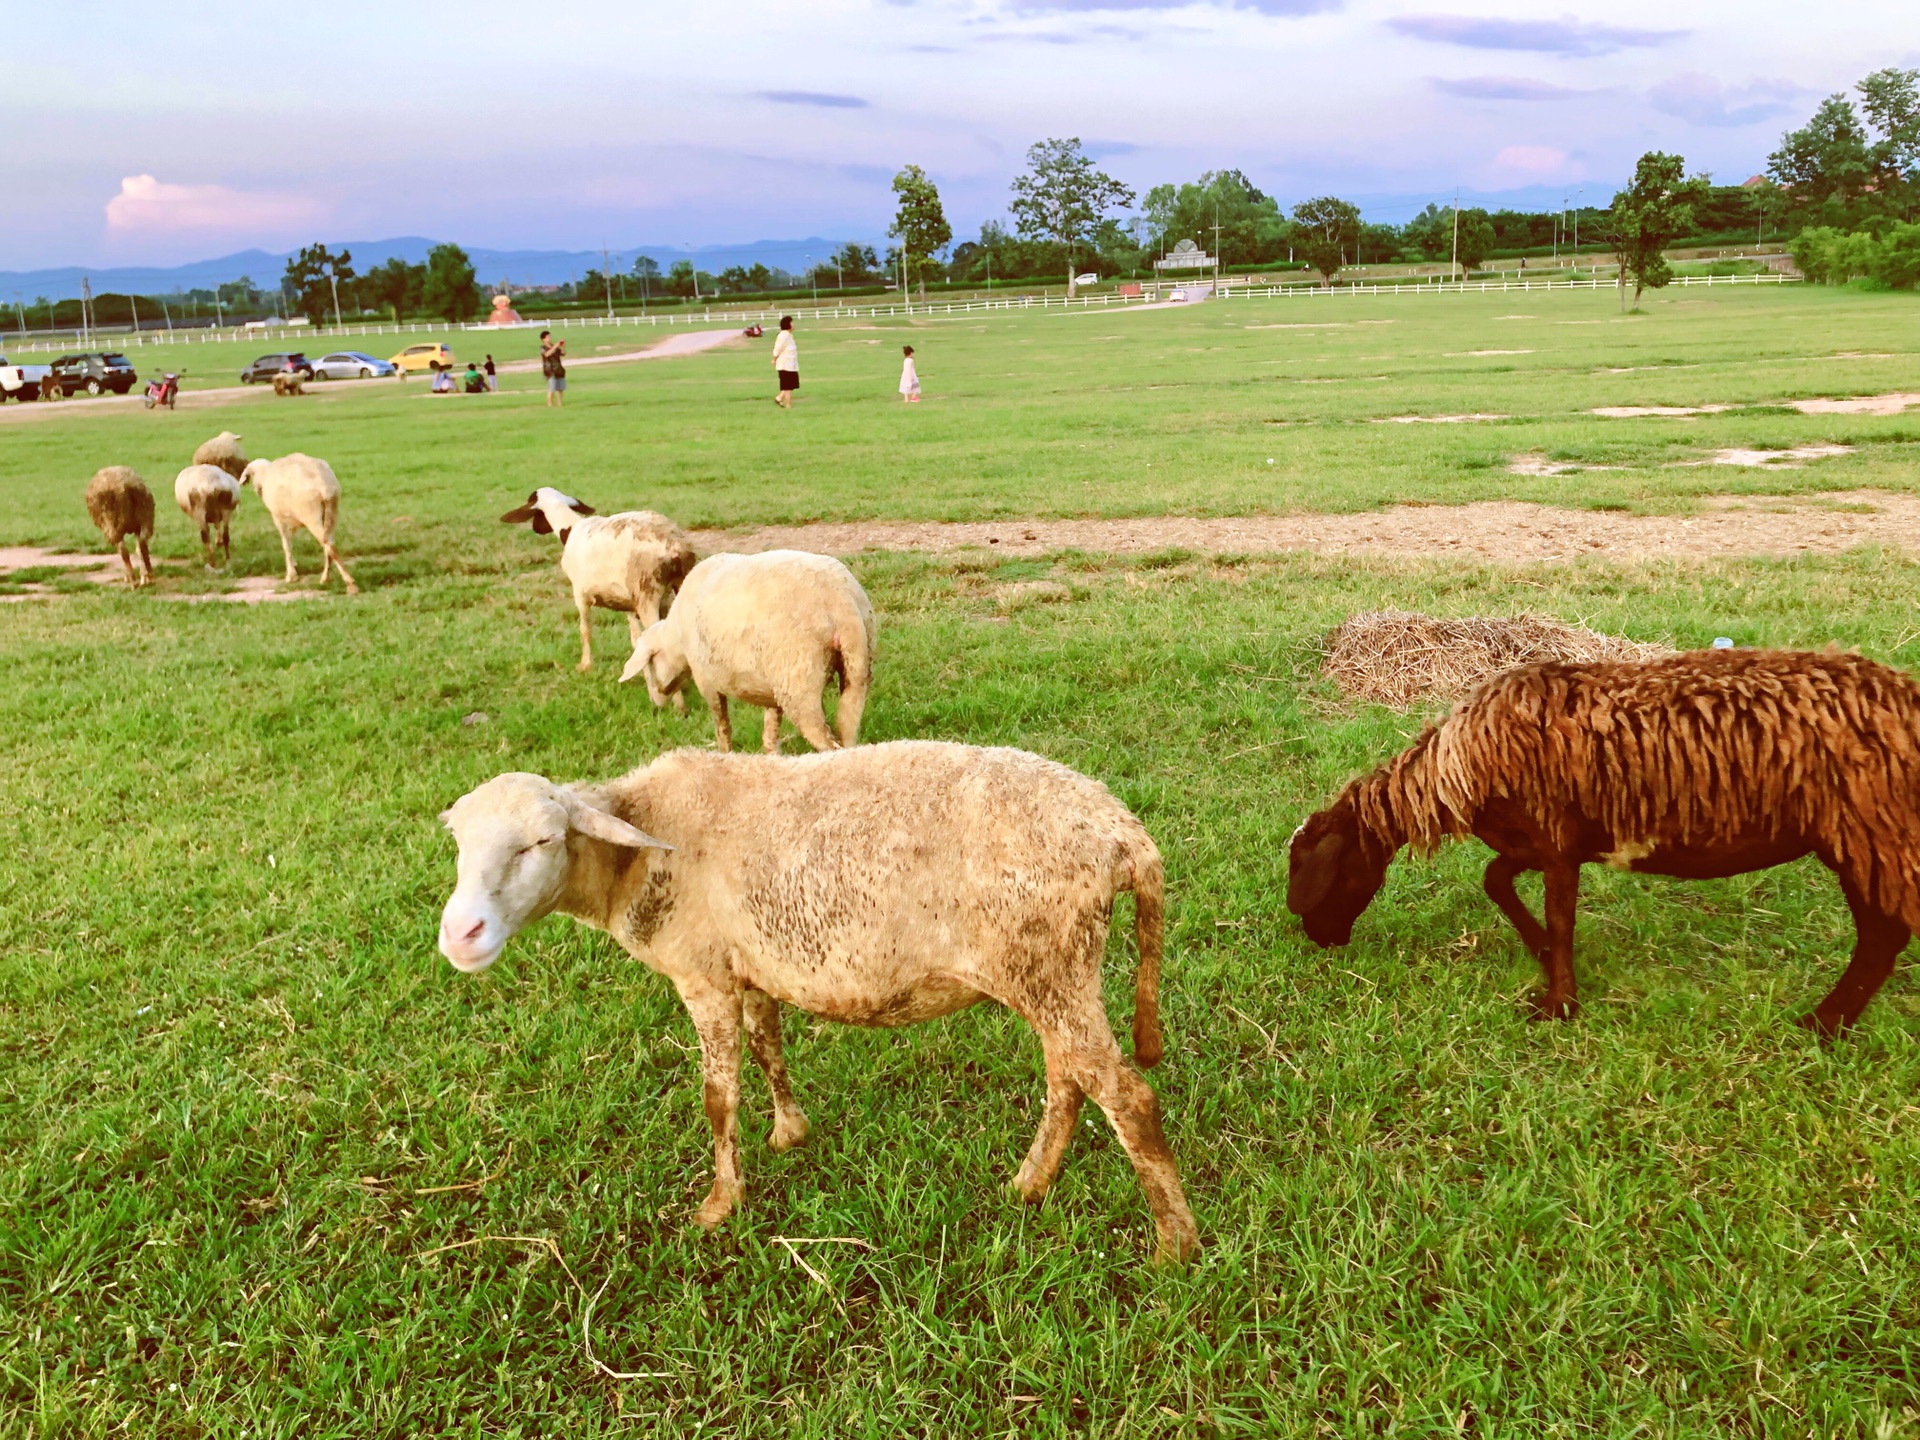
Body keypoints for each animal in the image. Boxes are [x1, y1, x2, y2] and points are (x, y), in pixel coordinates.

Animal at [241, 453, 359, 595]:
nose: (257, 489)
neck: (264, 473)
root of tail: (323, 485)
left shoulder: (278, 518)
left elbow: (286, 544)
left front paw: (291, 576)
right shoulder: (292, 520)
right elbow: (290, 541)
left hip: (310, 514)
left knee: (329, 546)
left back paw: (350, 584)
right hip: (332, 511)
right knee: (328, 543)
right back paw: (325, 578)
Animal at [439, 744, 1198, 1259]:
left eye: (541, 840)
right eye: (456, 845)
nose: (459, 933)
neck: (637, 853)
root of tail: (1121, 829)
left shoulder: (703, 974)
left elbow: (718, 1097)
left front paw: (719, 1205)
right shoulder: (749, 968)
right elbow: (768, 1044)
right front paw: (789, 1132)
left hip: (1049, 962)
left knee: (1127, 1097)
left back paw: (1175, 1247)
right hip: (1051, 970)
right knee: (1067, 1081)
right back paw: (1030, 1184)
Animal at [503, 487, 698, 675]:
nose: (536, 529)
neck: (571, 529)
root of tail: (674, 545)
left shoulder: (580, 594)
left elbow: (585, 630)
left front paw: (585, 665)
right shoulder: (628, 603)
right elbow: (635, 638)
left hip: (647, 595)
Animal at [622, 552, 879, 756]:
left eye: (648, 667)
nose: (656, 705)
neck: (676, 637)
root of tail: (841, 602)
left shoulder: (707, 681)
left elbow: (722, 726)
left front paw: (726, 755)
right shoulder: (772, 689)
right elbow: (770, 733)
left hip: (799, 679)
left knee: (827, 743)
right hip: (856, 667)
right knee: (848, 736)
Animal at [1282, 652, 1920, 1036]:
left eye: (1320, 869)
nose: (1319, 938)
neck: (1458, 767)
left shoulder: (1556, 841)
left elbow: (1560, 916)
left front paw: (1558, 1004)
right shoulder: (1535, 843)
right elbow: (1496, 880)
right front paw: (1543, 956)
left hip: (1869, 831)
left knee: (1882, 934)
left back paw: (1823, 1024)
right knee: (1883, 935)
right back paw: (1832, 1023)